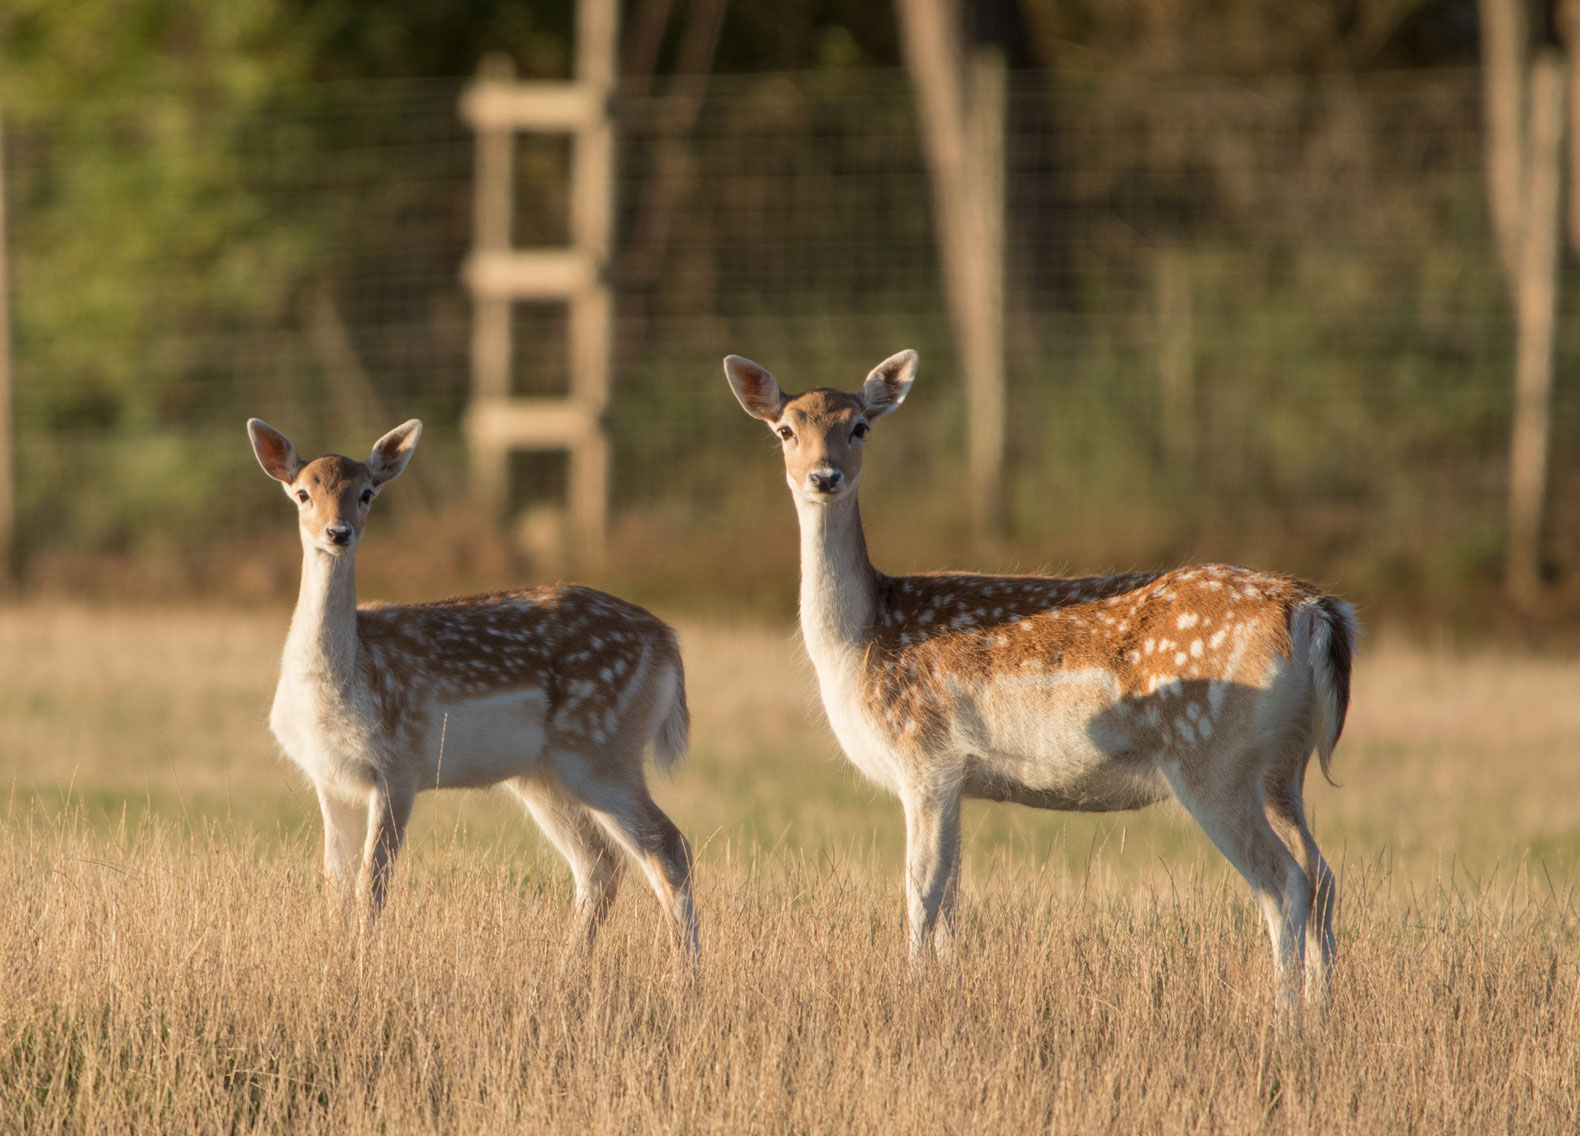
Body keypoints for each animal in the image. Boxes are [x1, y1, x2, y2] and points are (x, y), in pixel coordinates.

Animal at [247, 418, 698, 959]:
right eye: (302, 493)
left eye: (367, 492)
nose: (338, 532)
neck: (343, 683)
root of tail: (668, 641)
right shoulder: (331, 777)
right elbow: (336, 882)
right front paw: (338, 956)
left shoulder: (400, 765)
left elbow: (372, 884)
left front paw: (363, 962)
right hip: (544, 774)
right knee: (599, 863)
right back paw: (567, 969)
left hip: (603, 747)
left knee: (668, 848)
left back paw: (685, 975)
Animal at [724, 349, 1357, 1020]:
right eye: (785, 430)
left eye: (860, 427)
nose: (824, 476)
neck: (860, 643)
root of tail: (1313, 611)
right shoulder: (958, 780)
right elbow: (951, 905)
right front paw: (947, 989)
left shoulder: (926, 757)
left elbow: (922, 896)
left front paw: (914, 993)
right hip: (1282, 769)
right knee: (1321, 876)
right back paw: (1322, 1011)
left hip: (1213, 758)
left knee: (1283, 883)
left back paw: (1285, 1017)